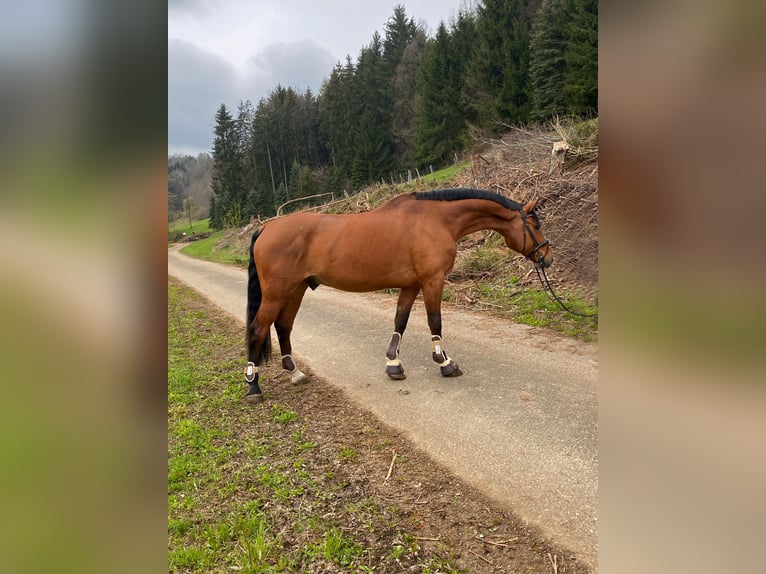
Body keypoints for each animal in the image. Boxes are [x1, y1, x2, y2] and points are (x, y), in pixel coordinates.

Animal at [243, 188, 553, 403]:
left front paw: (393, 364)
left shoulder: (411, 285)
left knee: (283, 326)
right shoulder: (432, 281)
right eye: (536, 225)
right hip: (277, 293)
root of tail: (266, 227)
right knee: (259, 329)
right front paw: (445, 363)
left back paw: (294, 373)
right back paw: (253, 386)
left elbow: (400, 322)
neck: (436, 220)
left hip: (296, 289)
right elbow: (435, 322)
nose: (547, 258)